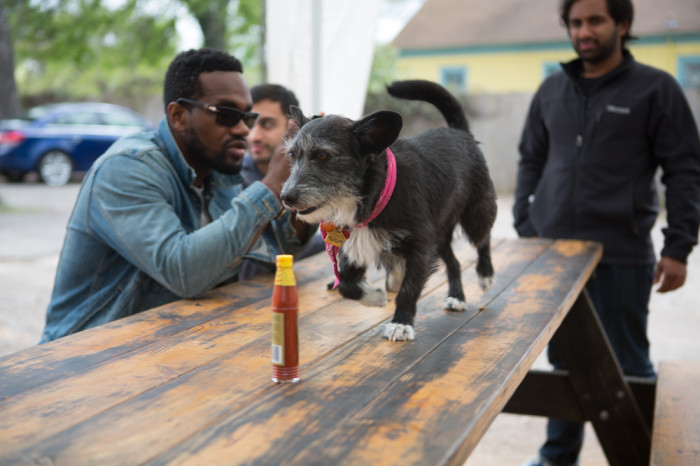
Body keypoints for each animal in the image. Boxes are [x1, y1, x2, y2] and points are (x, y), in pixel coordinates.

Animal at [278, 79, 498, 342]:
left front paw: (401, 322)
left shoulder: (421, 249)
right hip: (440, 234)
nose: (285, 197)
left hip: (477, 214)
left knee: (483, 240)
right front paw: (374, 297)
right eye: (292, 155)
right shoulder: (353, 246)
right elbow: (346, 285)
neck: (375, 194)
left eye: (322, 155)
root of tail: (460, 132)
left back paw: (485, 274)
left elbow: (409, 289)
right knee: (454, 262)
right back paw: (456, 296)